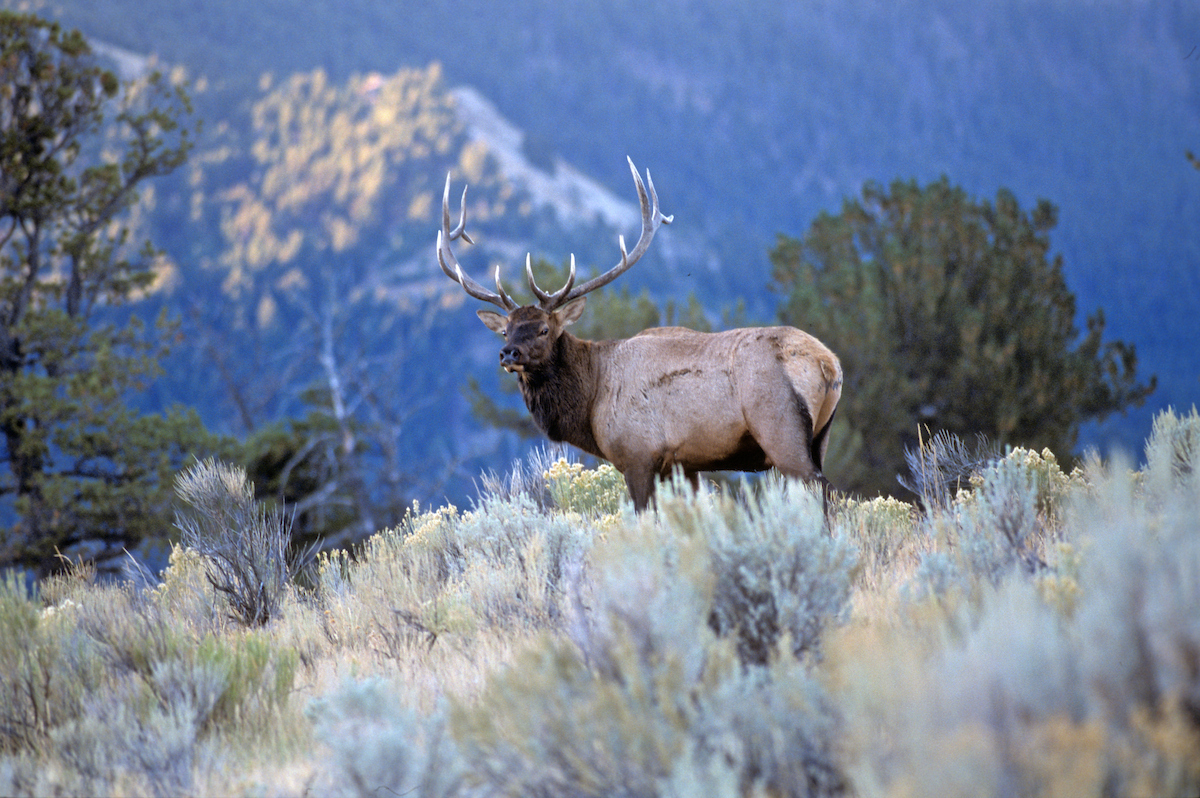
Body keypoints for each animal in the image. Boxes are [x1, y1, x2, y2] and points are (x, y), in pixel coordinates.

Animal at [437, 158, 842, 512]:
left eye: (543, 328)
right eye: (505, 330)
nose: (509, 354)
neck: (591, 400)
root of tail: (829, 364)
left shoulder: (638, 454)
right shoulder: (683, 465)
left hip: (780, 428)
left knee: (821, 489)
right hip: (820, 437)